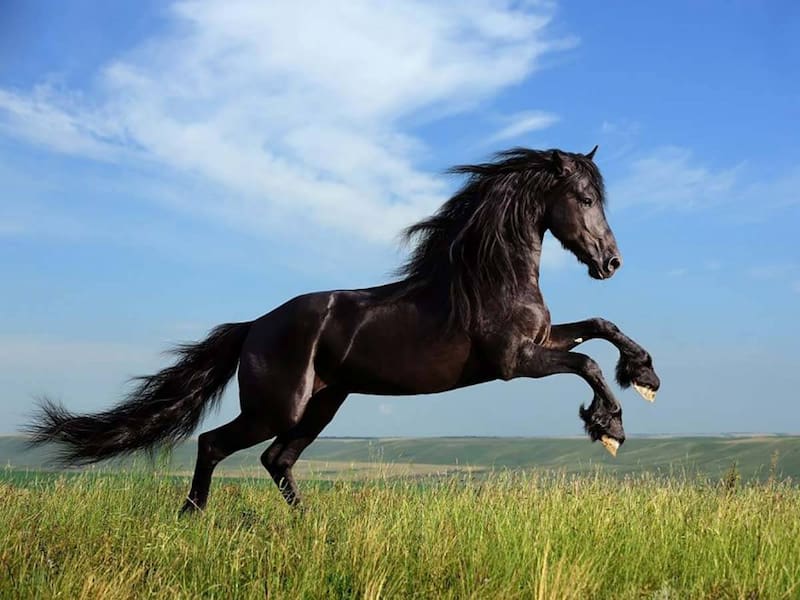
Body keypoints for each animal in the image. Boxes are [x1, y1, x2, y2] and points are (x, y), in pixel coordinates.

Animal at [28, 146, 661, 513]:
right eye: (584, 197)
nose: (610, 262)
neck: (489, 278)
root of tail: (253, 327)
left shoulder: (540, 341)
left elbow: (600, 326)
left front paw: (645, 376)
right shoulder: (513, 362)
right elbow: (586, 362)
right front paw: (609, 426)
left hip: (323, 405)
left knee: (277, 460)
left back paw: (307, 527)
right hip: (277, 407)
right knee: (216, 444)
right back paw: (192, 517)